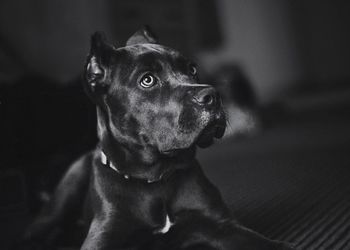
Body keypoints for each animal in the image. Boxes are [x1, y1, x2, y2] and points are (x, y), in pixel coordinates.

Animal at [21, 27, 296, 250]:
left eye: (192, 69)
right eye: (147, 80)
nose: (212, 95)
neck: (154, 178)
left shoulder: (220, 225)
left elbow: (267, 243)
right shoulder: (103, 236)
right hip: (61, 198)